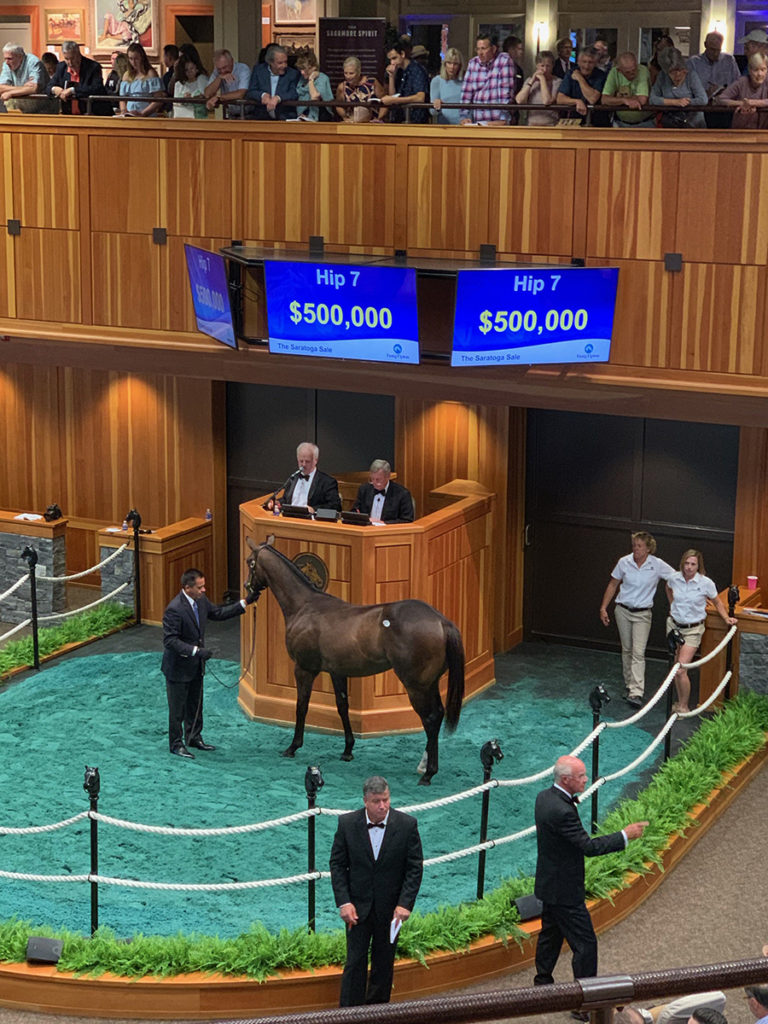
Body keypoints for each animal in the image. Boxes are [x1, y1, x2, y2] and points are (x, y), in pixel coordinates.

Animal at [246, 536, 462, 782]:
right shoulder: (337, 671)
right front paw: (348, 750)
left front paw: (293, 747)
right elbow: (342, 706)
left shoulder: (304, 669)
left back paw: (428, 773)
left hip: (416, 686)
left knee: (430, 719)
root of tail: (441, 622)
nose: (247, 589)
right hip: (430, 683)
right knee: (438, 715)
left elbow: (301, 706)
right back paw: (425, 765)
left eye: (249, 562)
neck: (305, 606)